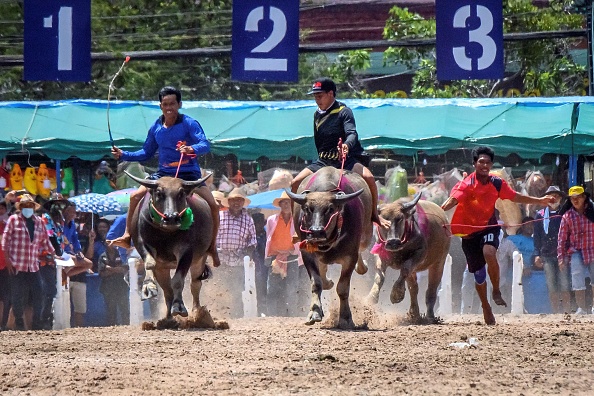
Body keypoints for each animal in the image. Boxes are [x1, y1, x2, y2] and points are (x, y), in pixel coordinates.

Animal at [125, 172, 215, 326]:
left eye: (181, 193)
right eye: (159, 193)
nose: (171, 218)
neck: (165, 233)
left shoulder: (186, 252)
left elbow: (178, 281)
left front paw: (179, 306)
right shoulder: (143, 244)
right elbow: (150, 264)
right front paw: (148, 287)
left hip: (200, 259)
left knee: (195, 284)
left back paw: (198, 314)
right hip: (163, 268)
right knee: (167, 291)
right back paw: (168, 319)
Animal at [286, 166, 370, 330]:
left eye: (330, 209)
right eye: (307, 209)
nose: (316, 231)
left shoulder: (350, 257)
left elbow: (342, 288)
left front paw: (346, 318)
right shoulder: (307, 253)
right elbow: (316, 283)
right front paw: (314, 312)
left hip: (365, 238)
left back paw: (362, 267)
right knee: (323, 273)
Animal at [366, 193, 448, 324]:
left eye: (400, 218)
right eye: (383, 220)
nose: (393, 242)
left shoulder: (419, 254)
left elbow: (404, 270)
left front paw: (396, 294)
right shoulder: (380, 253)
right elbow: (380, 276)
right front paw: (371, 297)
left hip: (439, 262)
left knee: (431, 289)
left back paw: (430, 316)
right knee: (413, 289)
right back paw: (414, 314)